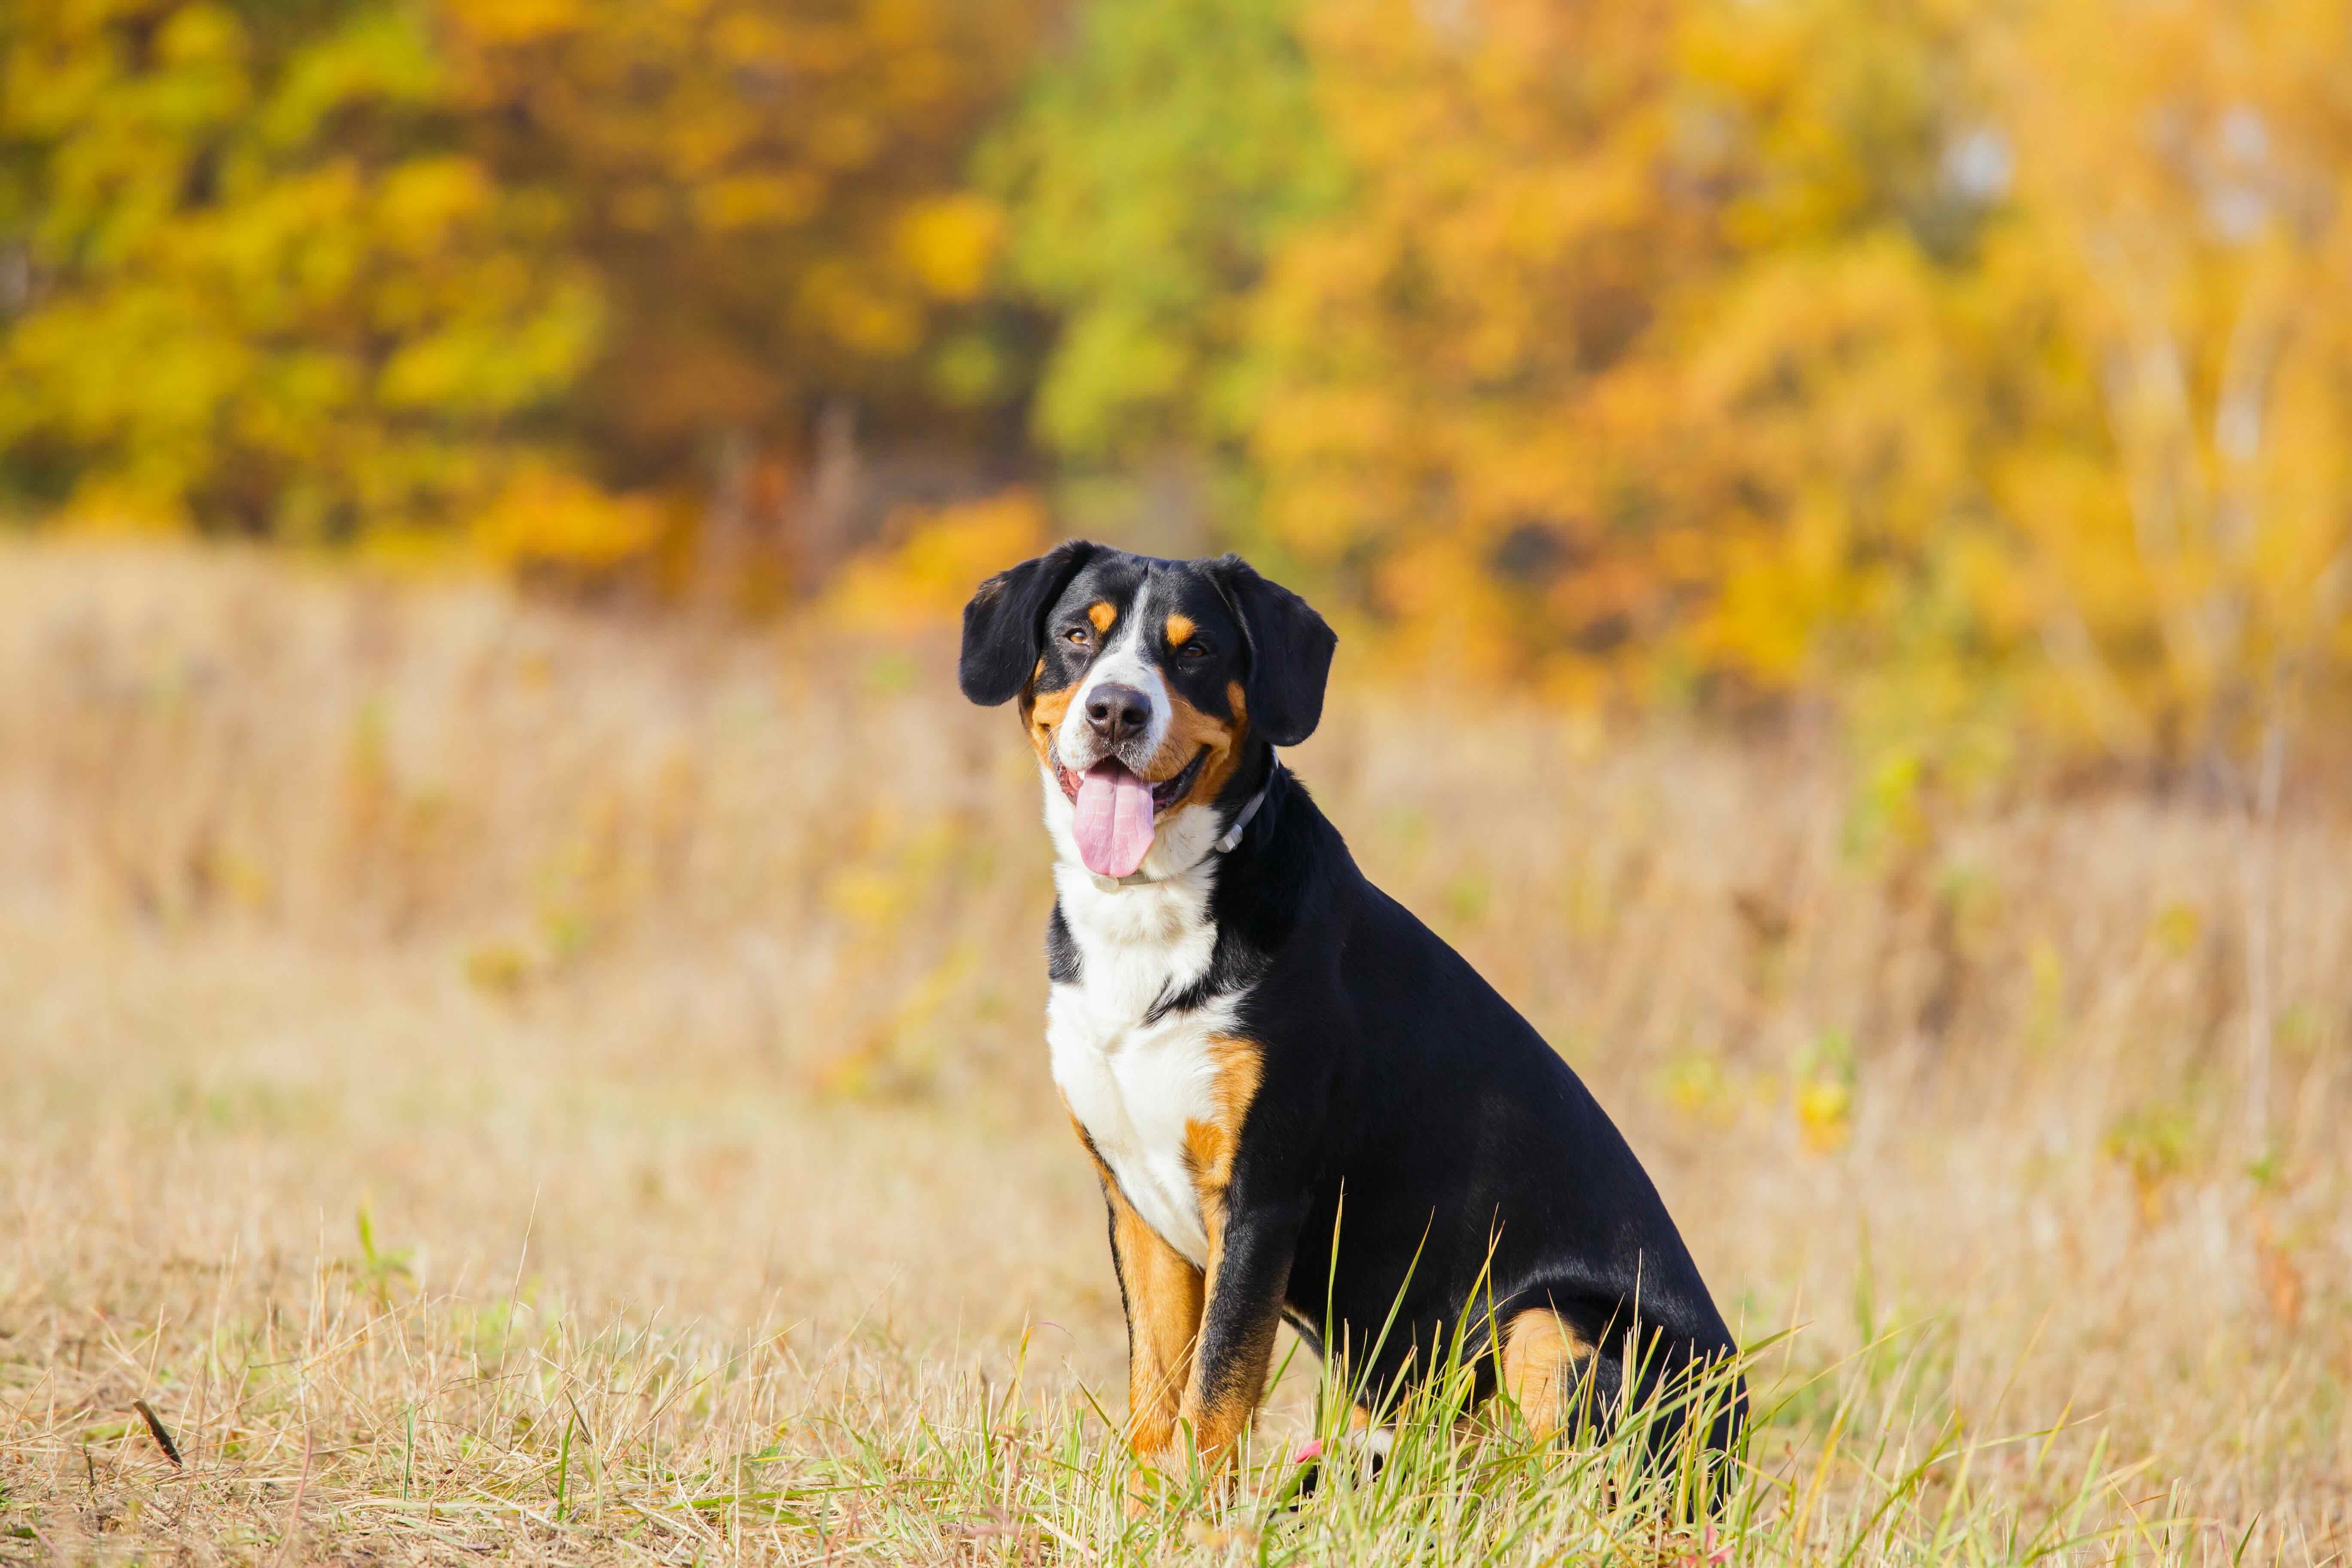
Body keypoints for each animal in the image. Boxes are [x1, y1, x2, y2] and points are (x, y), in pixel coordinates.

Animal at [955, 545, 1750, 1495]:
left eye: (1195, 650)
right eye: (1079, 634)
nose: (1117, 707)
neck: (1150, 916)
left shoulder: (1262, 1196)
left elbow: (1215, 1391)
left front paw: (1200, 1510)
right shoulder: (1135, 1201)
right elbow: (1158, 1391)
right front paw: (1147, 1507)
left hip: (1552, 1322)